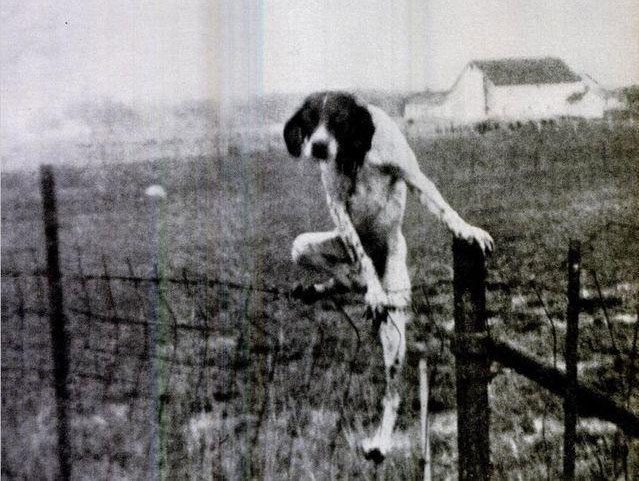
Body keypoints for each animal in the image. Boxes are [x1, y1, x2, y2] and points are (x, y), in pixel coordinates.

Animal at [282, 91, 492, 462]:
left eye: (338, 118)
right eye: (309, 120)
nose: (318, 146)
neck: (355, 154)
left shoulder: (411, 173)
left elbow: (444, 207)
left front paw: (466, 230)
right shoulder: (339, 208)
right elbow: (359, 253)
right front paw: (372, 291)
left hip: (395, 323)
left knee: (393, 391)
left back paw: (381, 443)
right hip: (305, 246)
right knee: (351, 274)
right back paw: (337, 287)